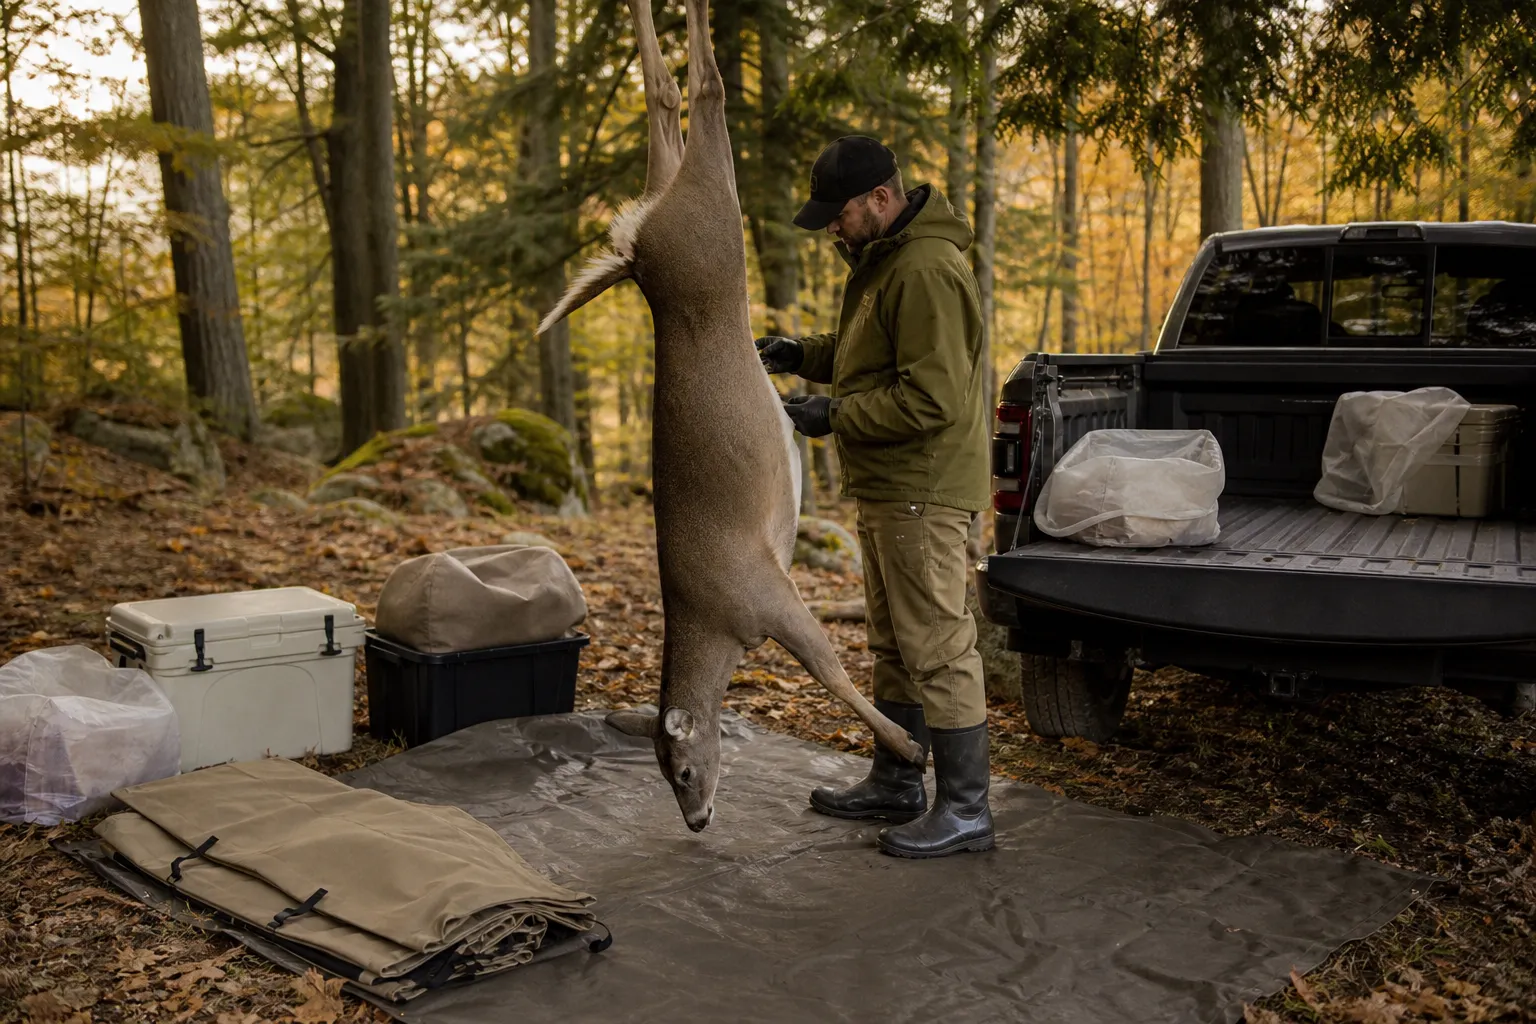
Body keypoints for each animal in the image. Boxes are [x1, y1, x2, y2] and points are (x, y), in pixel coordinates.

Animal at [536, 0, 924, 833]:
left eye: (682, 769)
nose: (698, 820)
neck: (716, 624)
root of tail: (636, 249)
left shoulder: (768, 590)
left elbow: (833, 669)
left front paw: (908, 746)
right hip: (696, 216)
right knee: (665, 97)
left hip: (709, 221)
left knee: (702, 93)